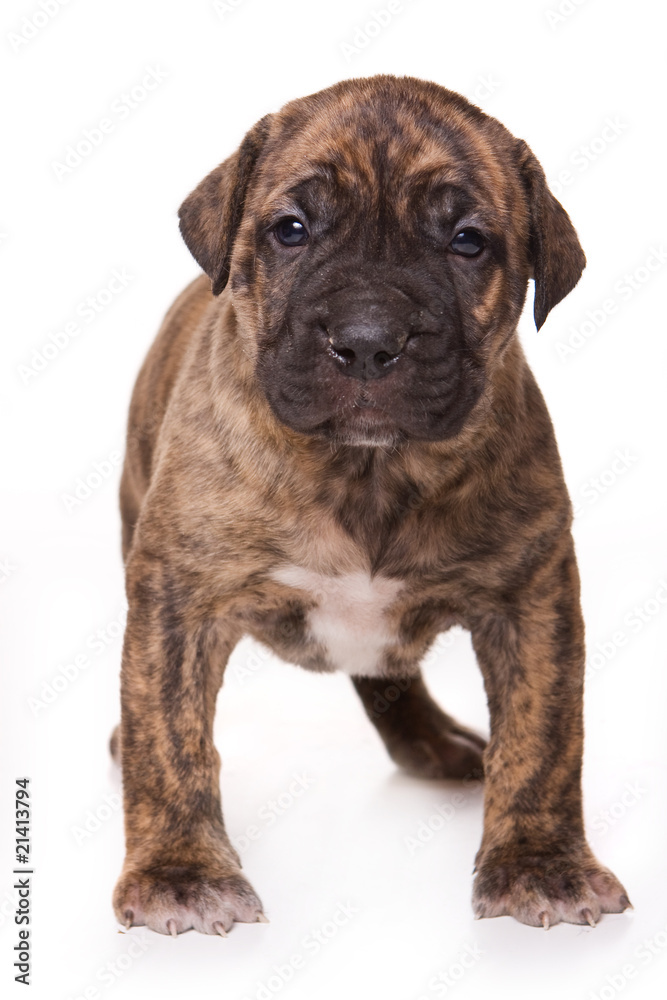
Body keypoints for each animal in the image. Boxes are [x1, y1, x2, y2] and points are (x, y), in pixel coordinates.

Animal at [111, 74, 632, 932]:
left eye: (467, 241)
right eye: (289, 230)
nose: (365, 338)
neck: (366, 469)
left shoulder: (533, 593)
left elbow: (543, 736)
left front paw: (539, 863)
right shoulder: (177, 596)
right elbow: (169, 736)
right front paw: (179, 872)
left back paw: (436, 742)